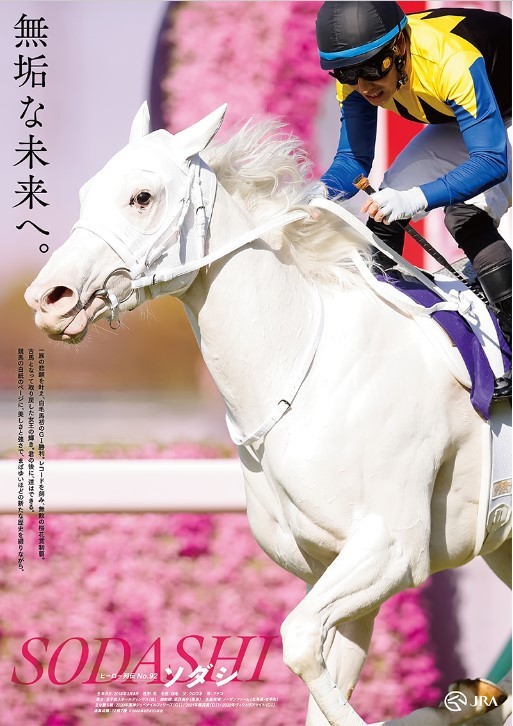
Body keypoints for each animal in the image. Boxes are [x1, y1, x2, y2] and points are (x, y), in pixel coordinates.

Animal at [24, 103, 511, 726]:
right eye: (87, 192)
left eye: (141, 196)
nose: (49, 298)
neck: (303, 367)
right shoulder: (332, 570)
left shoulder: (391, 548)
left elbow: (299, 639)